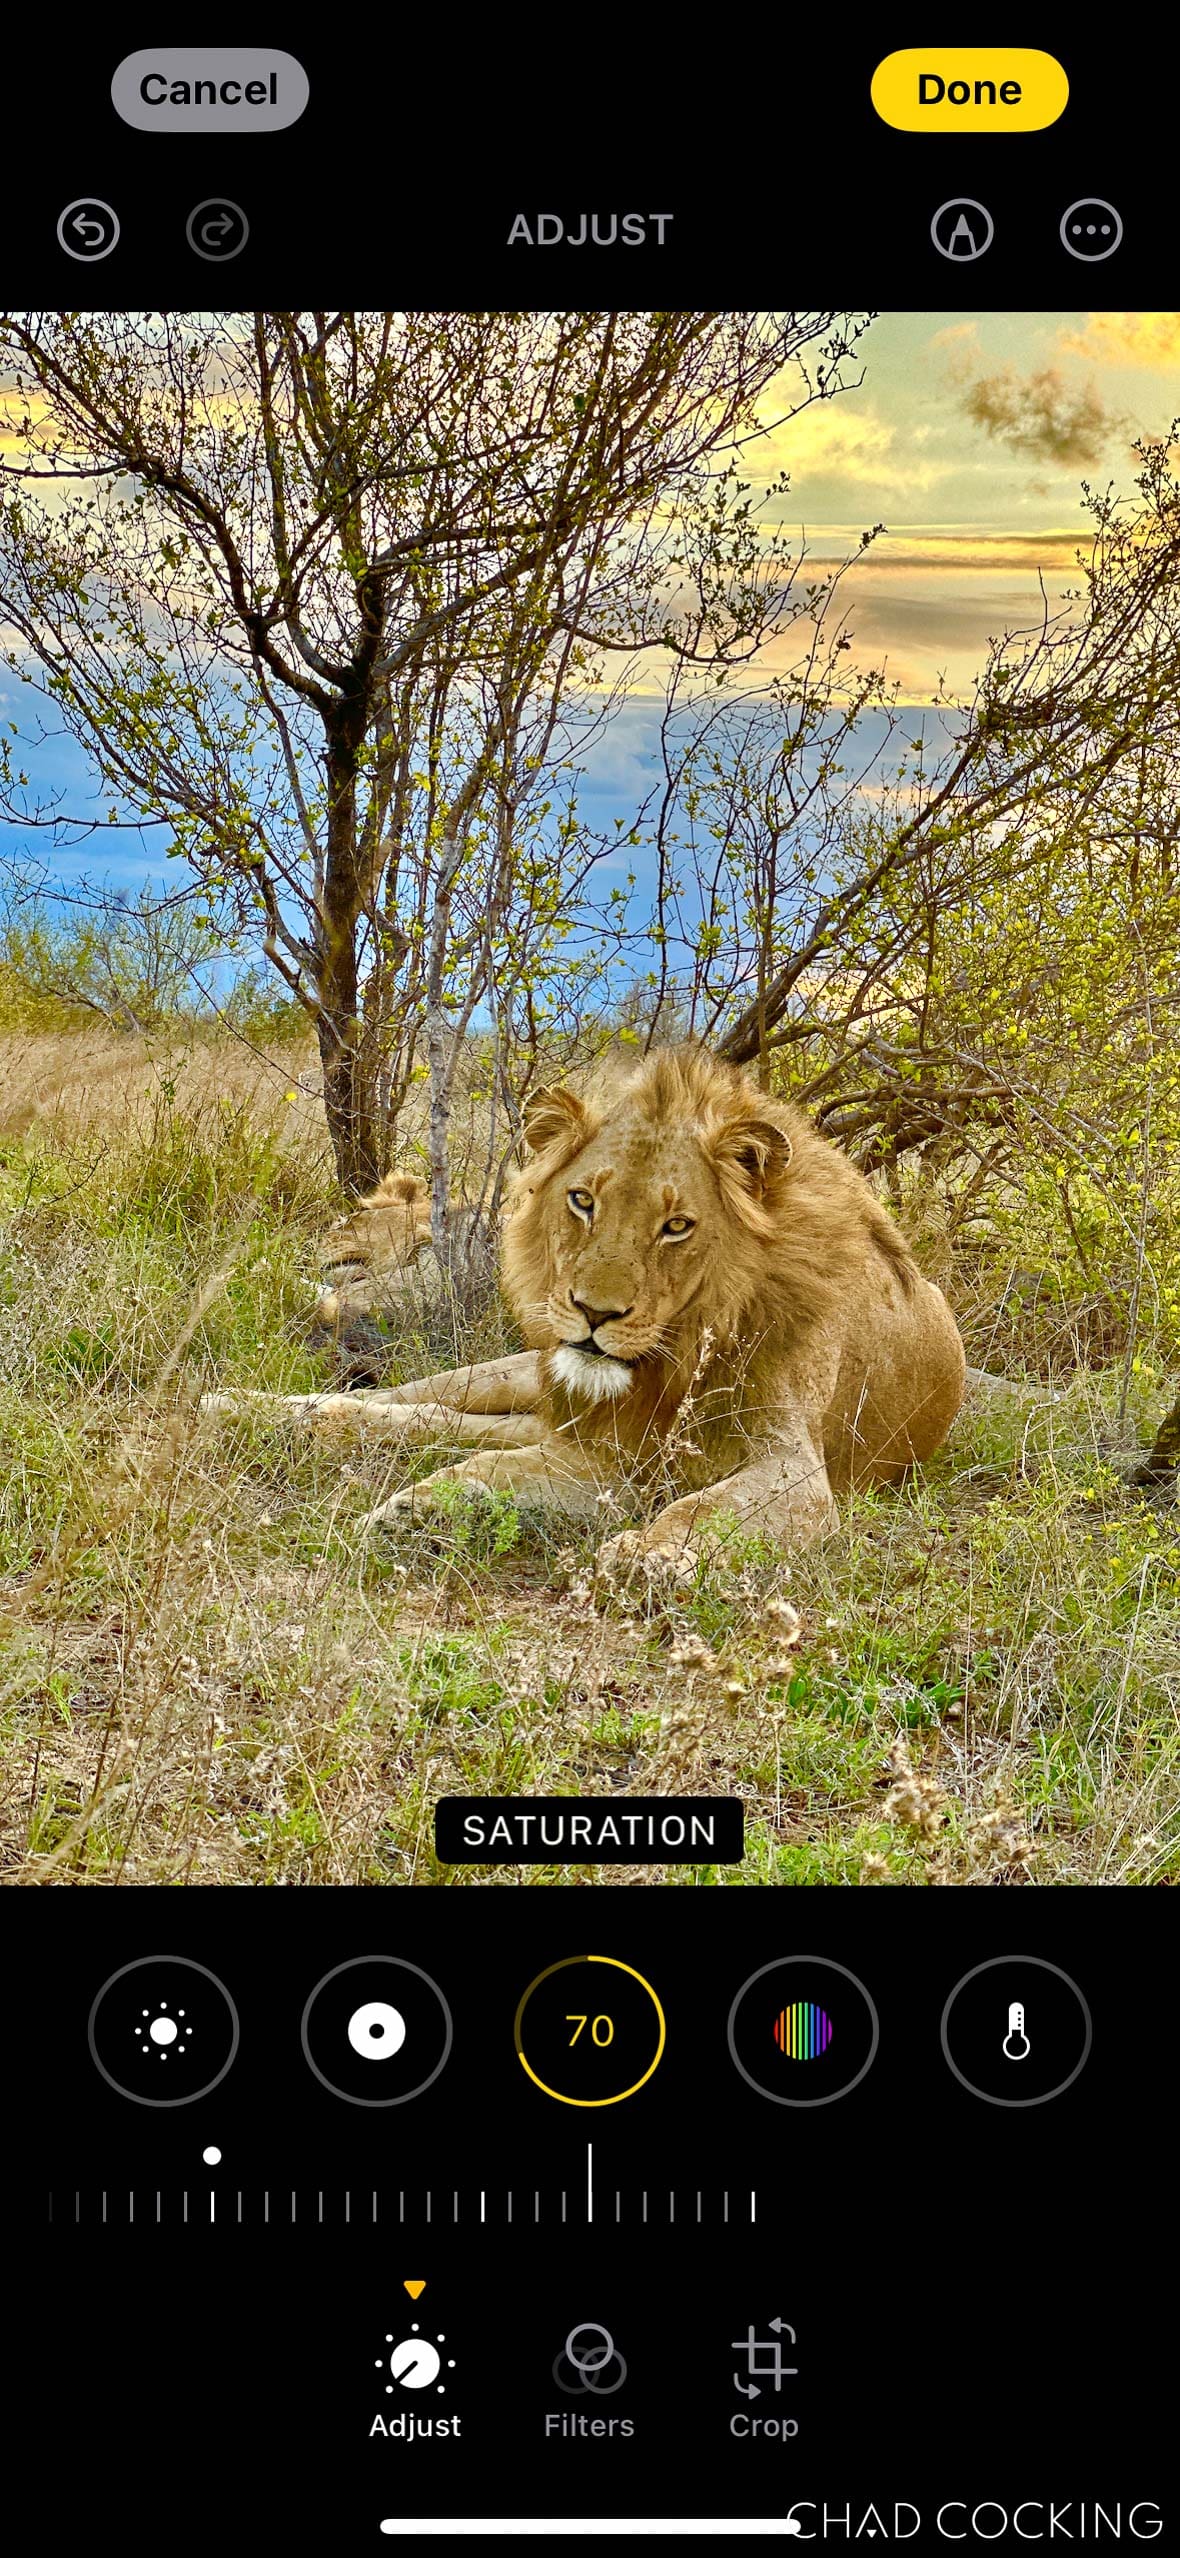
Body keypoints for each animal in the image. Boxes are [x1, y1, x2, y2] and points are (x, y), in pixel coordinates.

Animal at [360, 1045, 967, 1566]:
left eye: (676, 1226)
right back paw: (335, 1411)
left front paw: (647, 1554)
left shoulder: (795, 1471)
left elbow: (704, 1507)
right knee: (436, 1401)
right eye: (582, 1200)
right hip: (529, 1375)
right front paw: (409, 1507)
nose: (595, 1313)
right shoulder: (611, 1457)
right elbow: (489, 1465)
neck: (683, 1350)